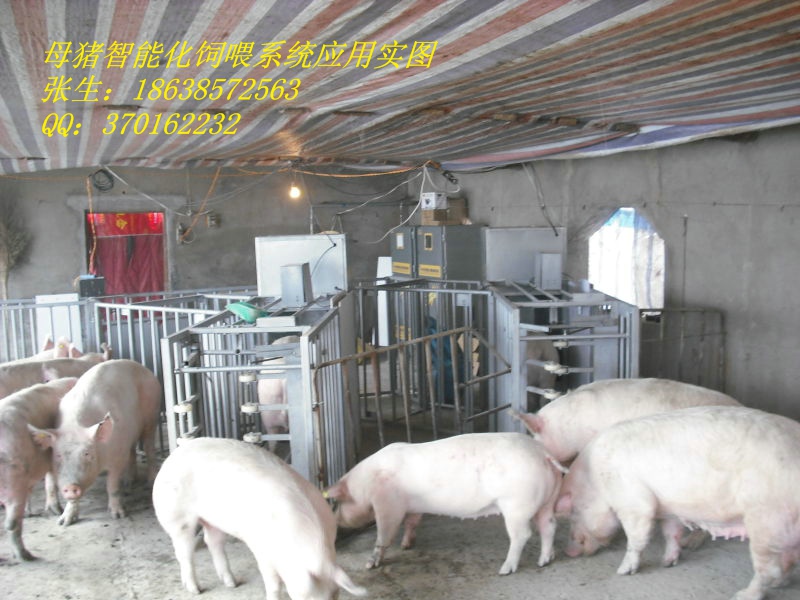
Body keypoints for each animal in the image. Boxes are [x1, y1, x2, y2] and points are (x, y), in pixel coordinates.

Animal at [28, 359, 161, 526]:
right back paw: (128, 482)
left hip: (151, 416)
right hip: (130, 432)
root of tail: (142, 367)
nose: (71, 487)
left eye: (87, 454)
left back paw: (150, 481)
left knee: (149, 447)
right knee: (131, 451)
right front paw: (63, 521)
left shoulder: (117, 456)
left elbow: (112, 485)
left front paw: (118, 515)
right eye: (58, 456)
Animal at [152, 437, 366, 599]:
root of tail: (171, 457)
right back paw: (195, 590)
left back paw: (232, 583)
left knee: (213, 541)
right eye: (303, 596)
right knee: (184, 552)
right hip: (177, 517)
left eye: (334, 595)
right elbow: (272, 582)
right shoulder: (262, 549)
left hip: (213, 520)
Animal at [325, 432, 565, 574]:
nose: (335, 521)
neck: (365, 484)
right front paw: (406, 545)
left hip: (517, 504)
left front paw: (370, 564)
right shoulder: (414, 507)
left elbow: (384, 534)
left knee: (523, 534)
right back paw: (545, 560)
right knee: (549, 525)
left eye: (335, 504)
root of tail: (543, 453)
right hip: (547, 500)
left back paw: (505, 569)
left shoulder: (388, 505)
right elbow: (412, 522)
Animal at [556, 405, 800, 600]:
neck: (596, 482)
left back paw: (743, 595)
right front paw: (667, 563)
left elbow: (636, 538)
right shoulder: (668, 508)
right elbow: (670, 533)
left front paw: (623, 571)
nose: (568, 552)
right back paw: (780, 583)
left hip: (766, 521)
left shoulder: (634, 501)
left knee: (768, 569)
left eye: (574, 513)